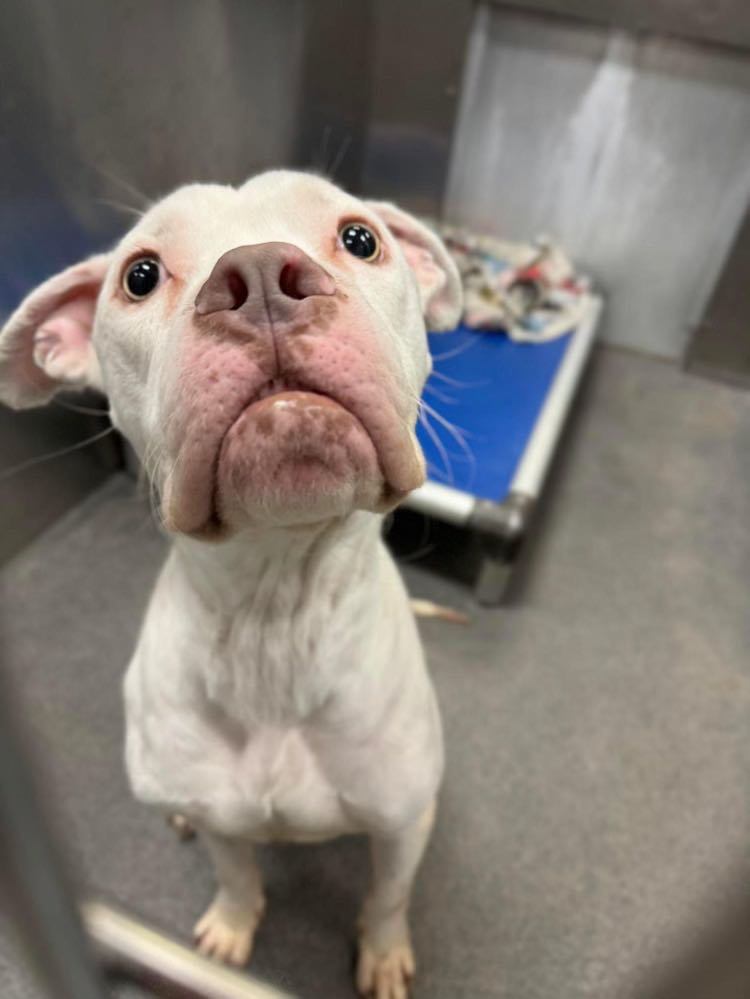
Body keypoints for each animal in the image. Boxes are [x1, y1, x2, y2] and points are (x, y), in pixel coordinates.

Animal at [0, 174, 464, 999]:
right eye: (139, 275)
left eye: (360, 237)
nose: (259, 276)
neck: (274, 619)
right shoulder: (225, 819)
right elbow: (236, 869)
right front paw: (231, 926)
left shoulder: (401, 821)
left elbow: (388, 892)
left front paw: (382, 952)